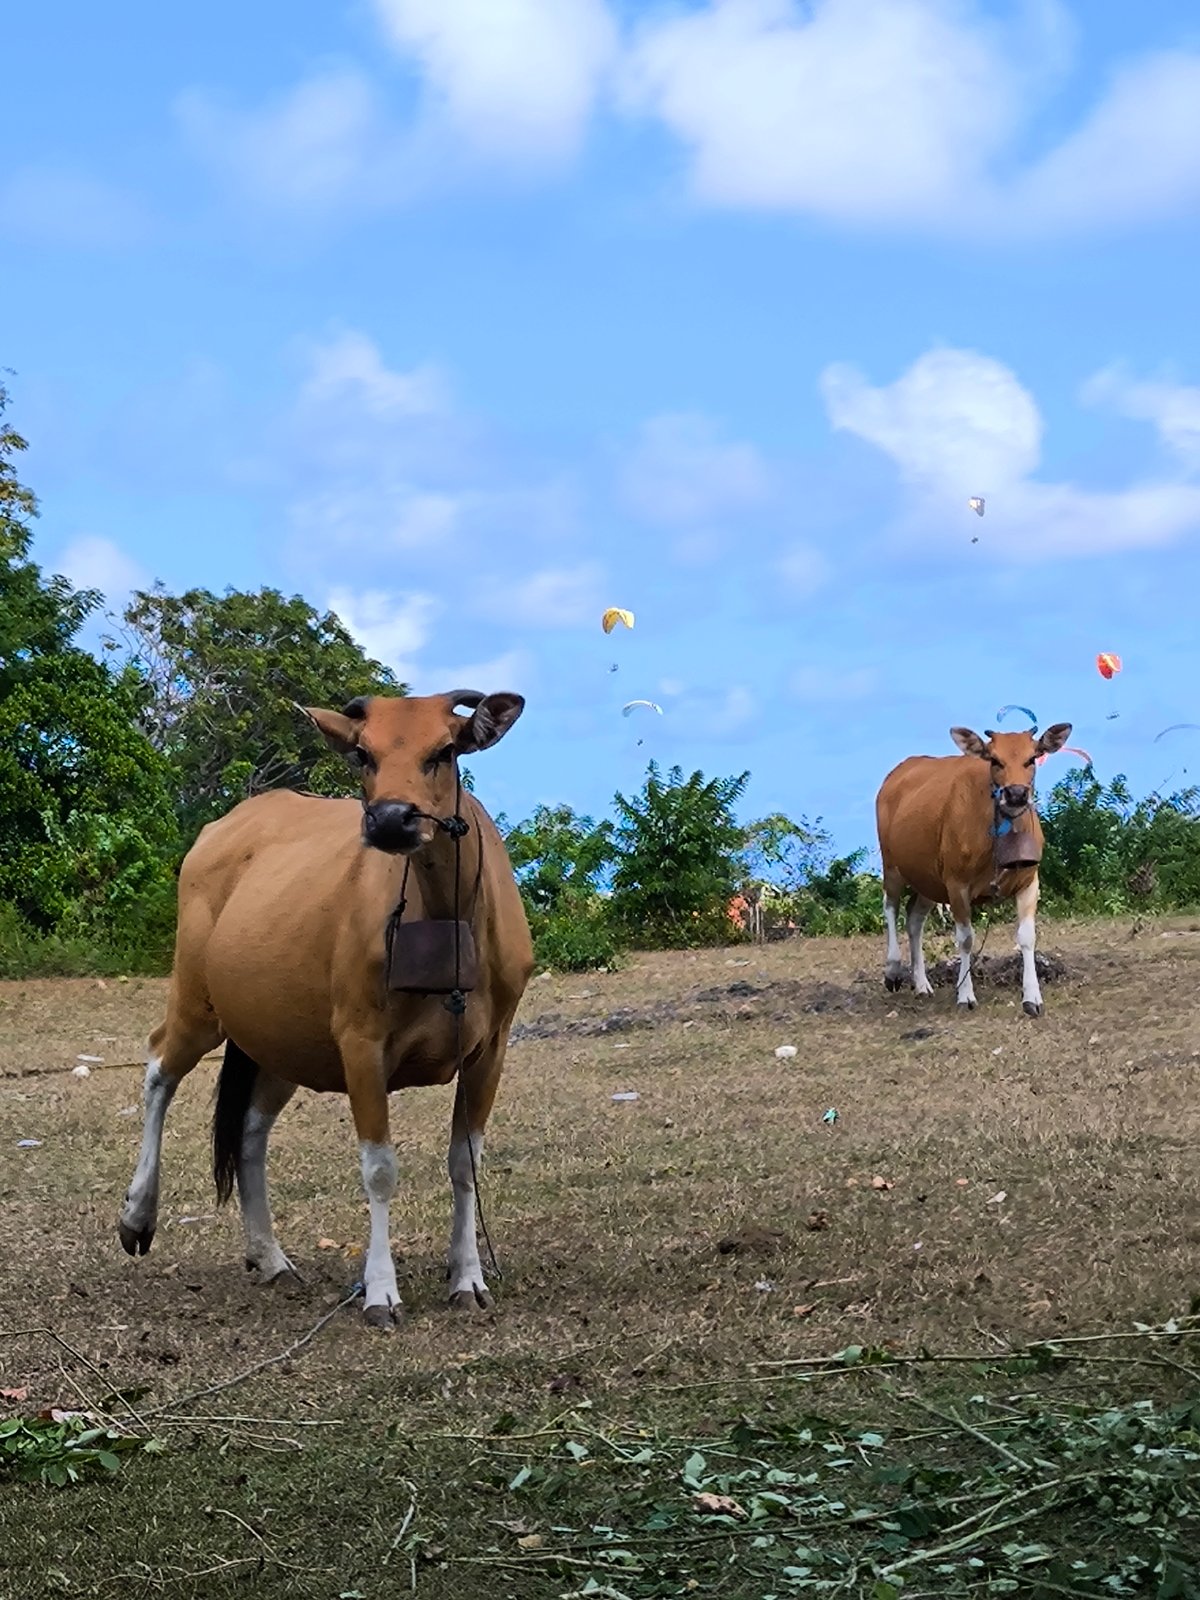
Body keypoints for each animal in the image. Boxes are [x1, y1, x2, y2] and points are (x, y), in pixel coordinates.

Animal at [117, 689, 534, 1328]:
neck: (447, 917)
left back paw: (270, 1257)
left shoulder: (491, 1047)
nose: (391, 819)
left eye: (444, 750)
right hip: (198, 999)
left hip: (279, 1039)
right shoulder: (361, 1040)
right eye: (363, 754)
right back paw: (138, 1215)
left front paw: (467, 1277)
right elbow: (379, 1169)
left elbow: (465, 1164)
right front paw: (381, 1290)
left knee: (249, 1131)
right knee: (159, 1067)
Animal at [875, 723, 1071, 1016]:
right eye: (995, 760)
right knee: (890, 906)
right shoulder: (957, 884)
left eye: (1032, 758)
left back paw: (921, 984)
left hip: (929, 880)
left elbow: (1027, 937)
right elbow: (966, 939)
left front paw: (1032, 998)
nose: (1016, 794)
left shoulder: (1029, 881)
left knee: (914, 919)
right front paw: (965, 994)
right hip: (892, 865)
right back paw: (893, 971)